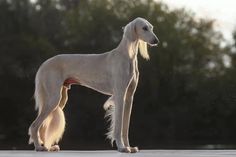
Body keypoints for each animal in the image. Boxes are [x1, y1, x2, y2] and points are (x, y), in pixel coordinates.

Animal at [28, 17, 159, 153]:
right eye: (144, 28)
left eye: (151, 28)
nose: (156, 41)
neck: (126, 56)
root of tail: (44, 64)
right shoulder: (119, 95)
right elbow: (118, 126)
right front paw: (122, 147)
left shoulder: (129, 97)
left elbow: (125, 127)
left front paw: (129, 146)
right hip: (53, 98)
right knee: (34, 125)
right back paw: (39, 147)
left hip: (60, 99)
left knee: (42, 125)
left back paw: (46, 147)